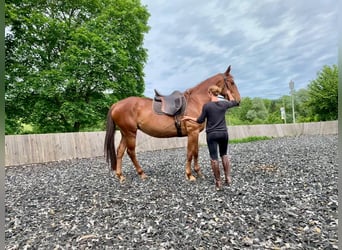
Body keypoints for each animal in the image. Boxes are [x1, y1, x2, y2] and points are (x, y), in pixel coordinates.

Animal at [104, 64, 240, 183]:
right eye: (232, 82)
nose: (238, 101)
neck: (196, 101)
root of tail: (116, 104)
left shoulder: (195, 133)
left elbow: (195, 152)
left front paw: (198, 172)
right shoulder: (192, 132)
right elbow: (190, 153)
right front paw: (190, 175)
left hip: (124, 133)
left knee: (120, 151)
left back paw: (120, 176)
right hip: (130, 133)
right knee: (131, 152)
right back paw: (141, 173)